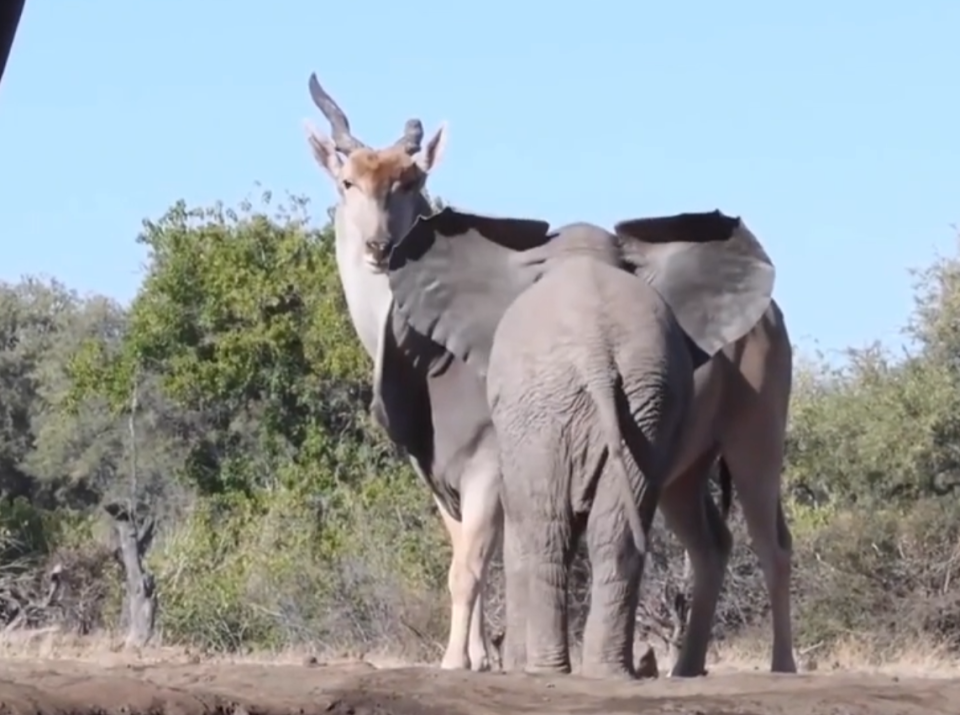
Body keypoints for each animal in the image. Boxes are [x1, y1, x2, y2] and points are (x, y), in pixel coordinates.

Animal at [380, 207, 779, 677]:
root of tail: (597, 355)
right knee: (620, 534)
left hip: (548, 406)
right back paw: (610, 672)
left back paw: (548, 670)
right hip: (645, 403)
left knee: (547, 528)